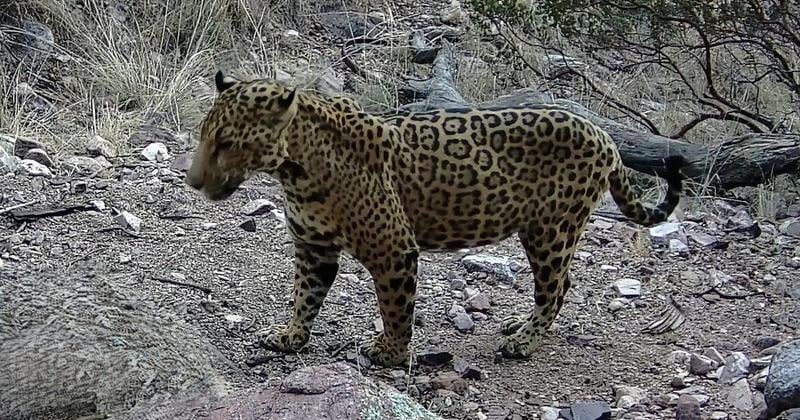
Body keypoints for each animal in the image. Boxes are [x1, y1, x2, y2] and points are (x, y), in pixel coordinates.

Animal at [185, 70, 689, 367]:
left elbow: (394, 309)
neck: (295, 168)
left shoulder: (392, 250)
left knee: (557, 286)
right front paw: (290, 336)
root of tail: (606, 137)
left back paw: (523, 341)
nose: (192, 180)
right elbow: (304, 297)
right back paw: (518, 326)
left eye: (227, 143)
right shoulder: (314, 248)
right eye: (205, 136)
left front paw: (388, 353)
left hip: (551, 230)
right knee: (561, 283)